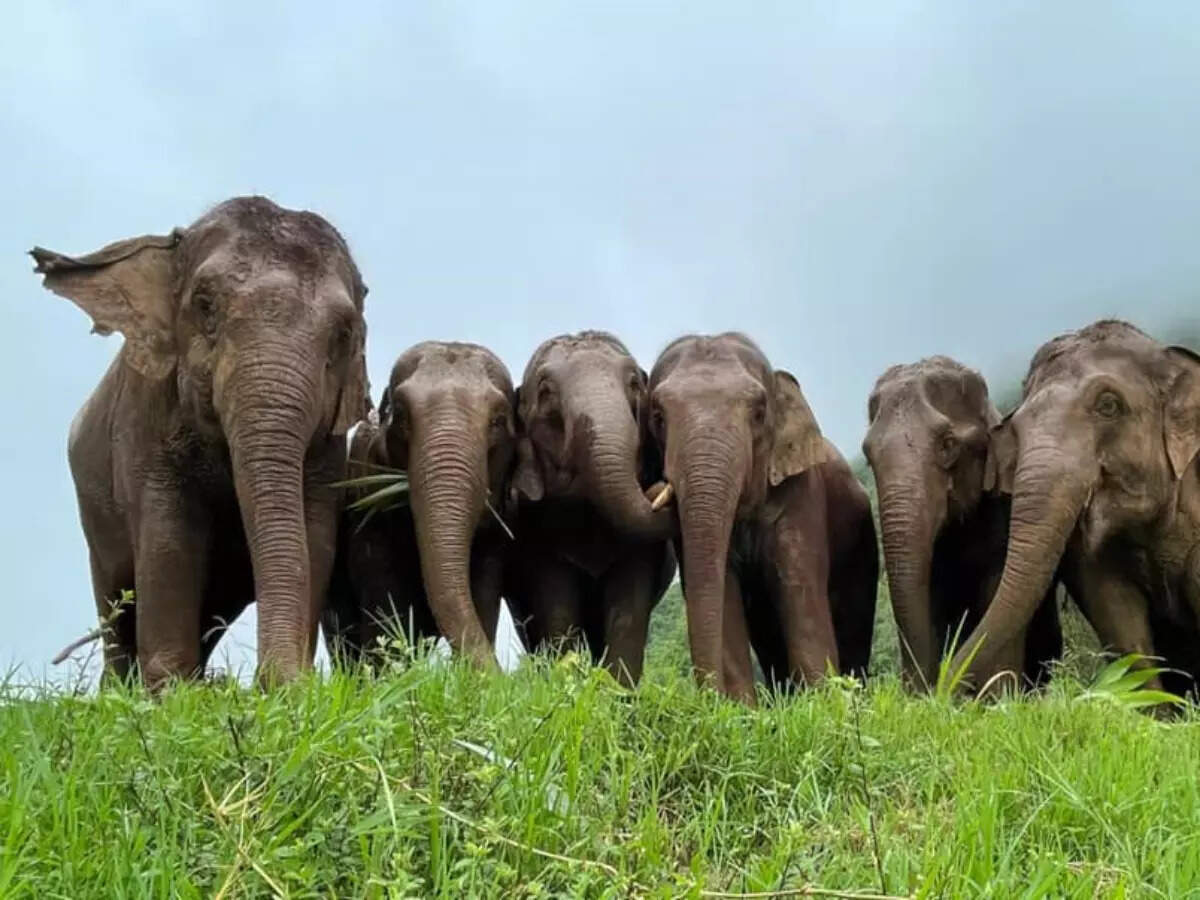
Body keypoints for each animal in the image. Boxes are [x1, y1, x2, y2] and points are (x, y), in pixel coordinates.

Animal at [32, 196, 369, 688]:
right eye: (205, 304)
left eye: (344, 333)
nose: (274, 682)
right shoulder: (147, 423)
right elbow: (169, 536)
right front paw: (170, 692)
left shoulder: (328, 448)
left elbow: (315, 532)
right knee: (115, 600)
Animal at [504, 331, 677, 686]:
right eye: (546, 391)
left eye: (634, 383)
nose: (658, 488)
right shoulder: (539, 537)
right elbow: (556, 605)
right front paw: (564, 683)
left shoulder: (641, 552)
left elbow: (629, 609)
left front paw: (616, 693)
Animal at [647, 332, 877, 702]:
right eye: (658, 416)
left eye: (758, 412)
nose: (708, 698)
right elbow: (724, 590)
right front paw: (740, 708)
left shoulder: (801, 493)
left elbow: (799, 589)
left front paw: (823, 705)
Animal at [863, 356, 1063, 692]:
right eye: (867, 455)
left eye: (948, 444)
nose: (934, 690)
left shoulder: (1003, 514)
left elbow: (995, 591)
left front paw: (998, 698)